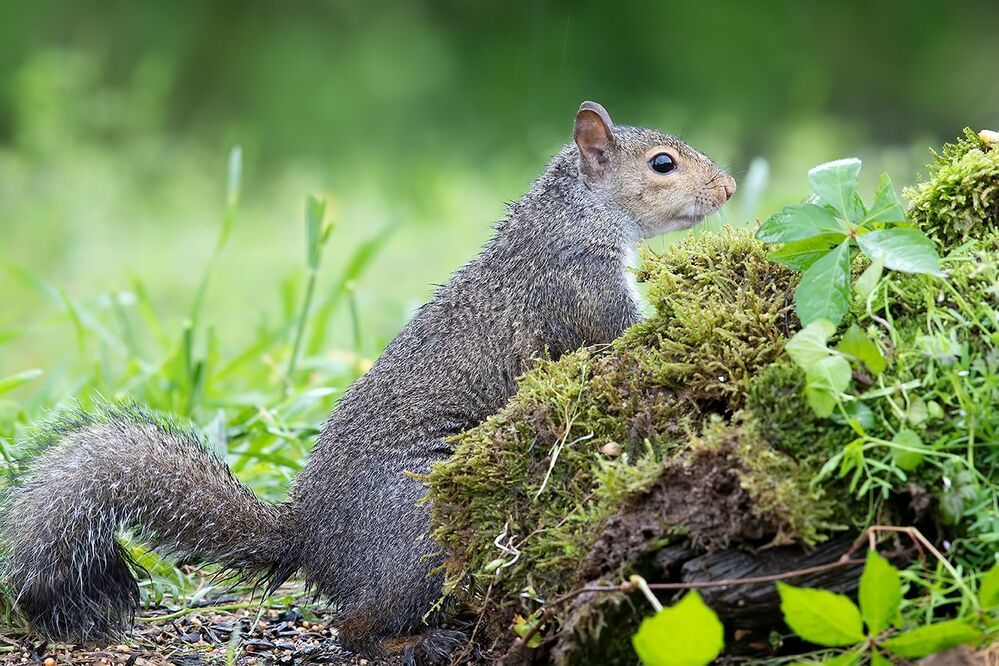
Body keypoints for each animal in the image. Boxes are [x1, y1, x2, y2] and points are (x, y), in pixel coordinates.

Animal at [0, 101, 734, 662]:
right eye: (662, 164)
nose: (729, 188)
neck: (573, 217)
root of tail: (309, 537)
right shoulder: (582, 295)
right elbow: (629, 339)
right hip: (416, 534)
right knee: (352, 628)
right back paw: (419, 642)